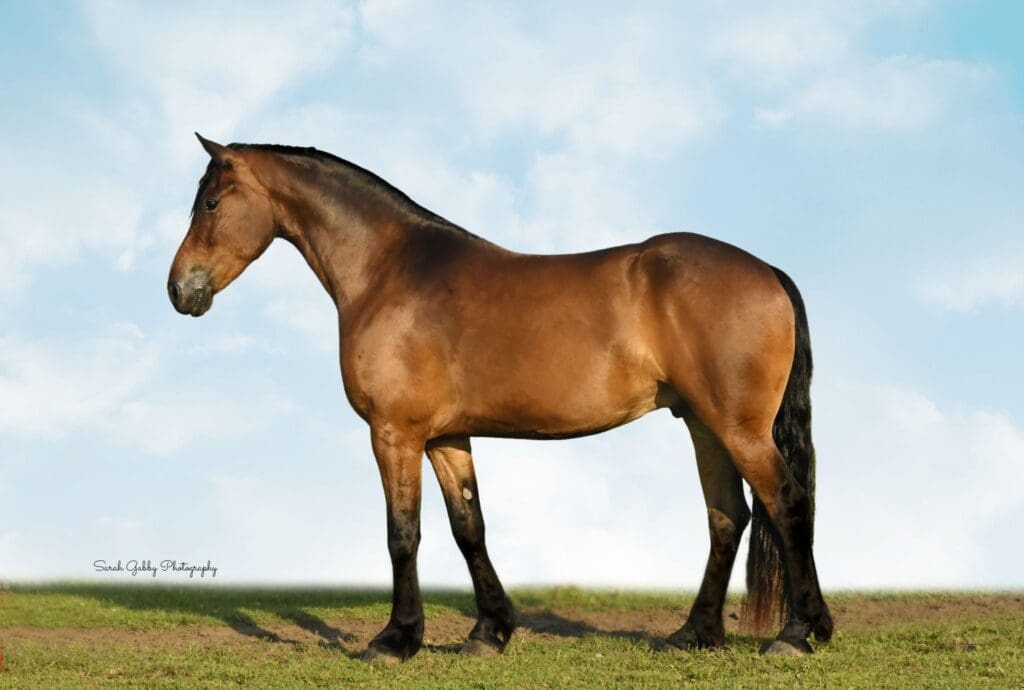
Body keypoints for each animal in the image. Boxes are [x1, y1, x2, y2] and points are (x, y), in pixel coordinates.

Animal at [168, 133, 832, 661]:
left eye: (211, 202)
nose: (179, 290)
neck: (390, 271)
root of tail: (768, 271)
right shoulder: (444, 436)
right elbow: (469, 527)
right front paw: (490, 632)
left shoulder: (394, 433)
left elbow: (402, 533)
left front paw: (396, 640)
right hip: (702, 423)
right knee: (728, 517)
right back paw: (695, 633)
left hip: (739, 427)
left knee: (787, 503)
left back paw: (796, 635)